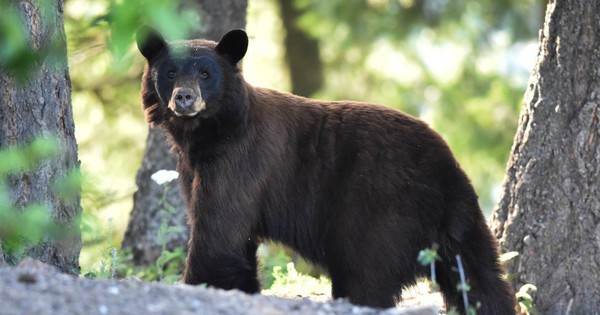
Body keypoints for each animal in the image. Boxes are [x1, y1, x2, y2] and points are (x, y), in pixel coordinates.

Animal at [137, 27, 516, 315]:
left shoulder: (240, 159)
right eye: (170, 72)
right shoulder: (196, 167)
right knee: (482, 277)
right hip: (462, 219)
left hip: (378, 212)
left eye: (205, 73)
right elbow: (235, 239)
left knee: (366, 275)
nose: (184, 98)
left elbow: (219, 232)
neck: (208, 134)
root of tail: (444, 168)